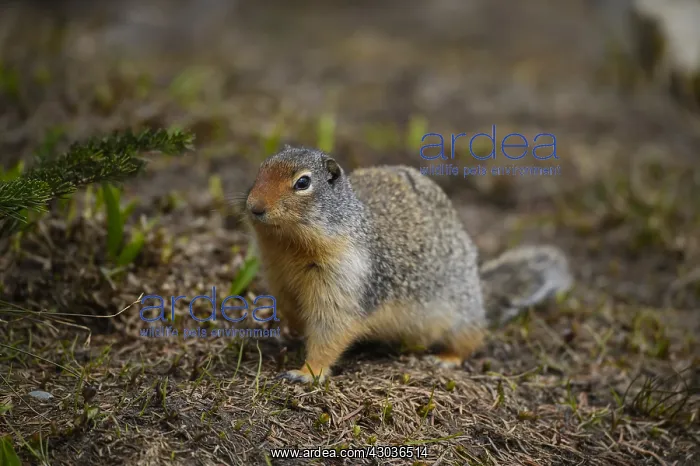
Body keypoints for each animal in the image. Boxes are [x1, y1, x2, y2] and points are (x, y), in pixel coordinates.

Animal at [238, 145, 573, 384]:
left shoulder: (344, 281)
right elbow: (292, 311)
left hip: (458, 314)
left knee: (472, 338)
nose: (254, 206)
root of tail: (478, 289)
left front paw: (307, 372)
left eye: (303, 182)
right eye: (262, 168)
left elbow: (330, 330)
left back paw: (446, 358)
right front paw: (286, 332)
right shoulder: (278, 277)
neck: (287, 248)